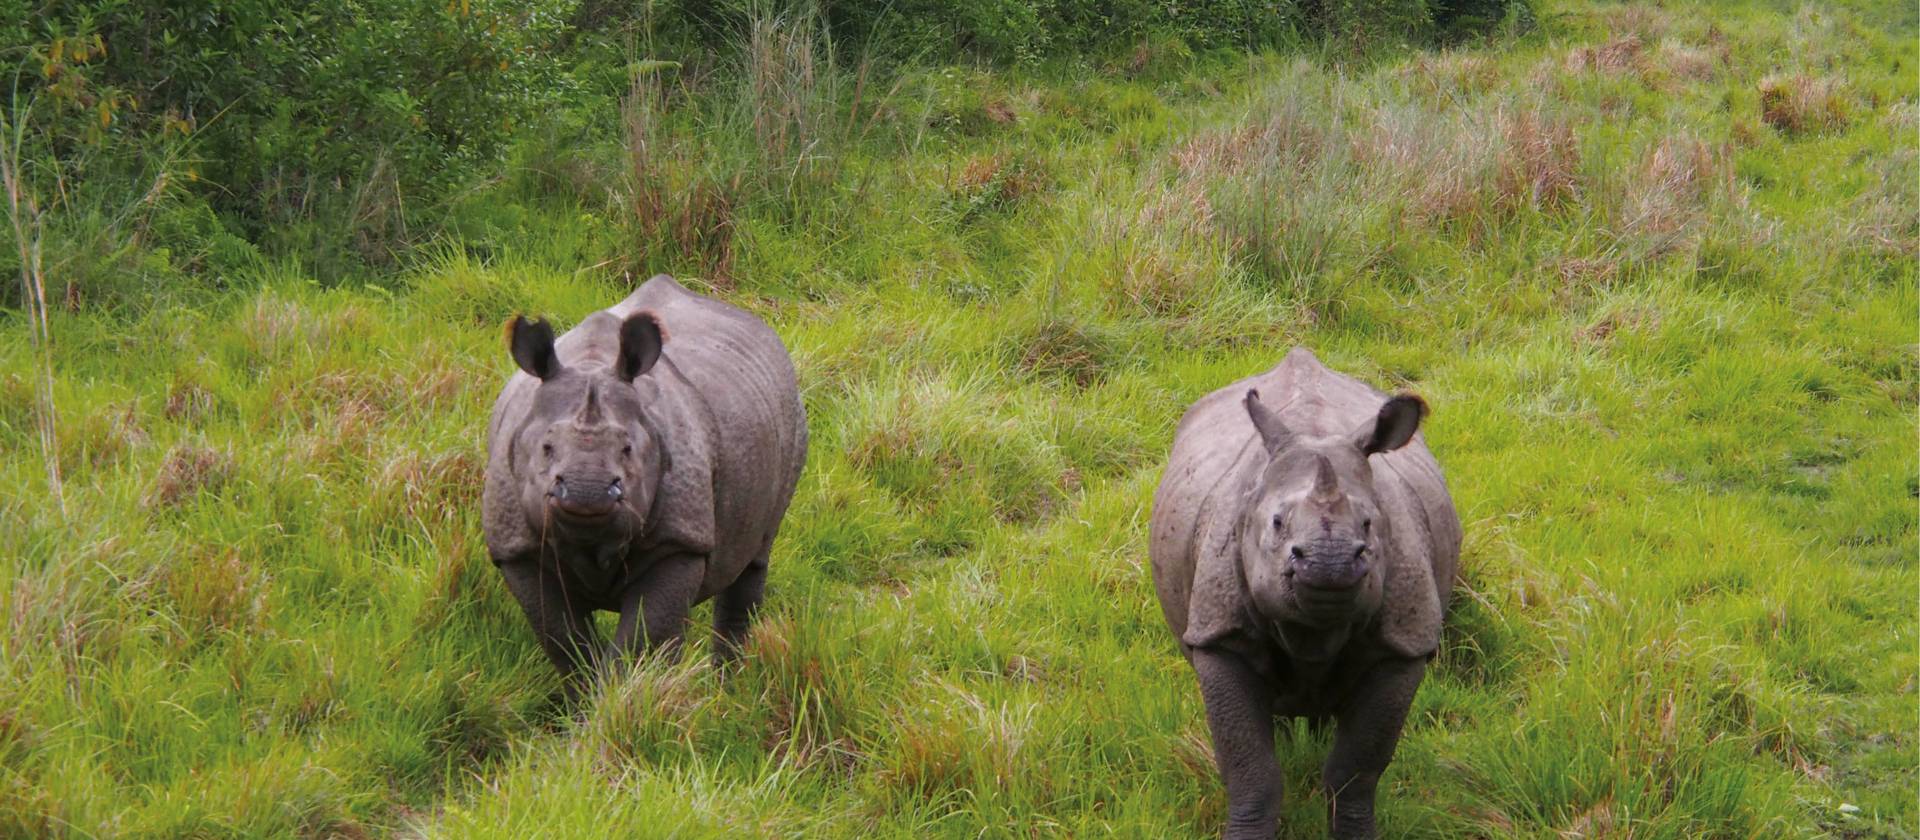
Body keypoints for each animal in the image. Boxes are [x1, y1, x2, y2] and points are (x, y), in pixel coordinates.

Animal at [483, 274, 807, 679]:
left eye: (627, 449)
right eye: (546, 447)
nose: (586, 492)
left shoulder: (678, 541)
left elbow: (639, 645)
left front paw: (630, 692)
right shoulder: (518, 550)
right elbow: (565, 643)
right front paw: (588, 694)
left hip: (791, 415)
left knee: (753, 559)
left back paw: (726, 688)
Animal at [1149, 348, 1460, 840]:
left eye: (1369, 524)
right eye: (1277, 523)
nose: (1328, 563)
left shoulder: (1403, 645)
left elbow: (1355, 771)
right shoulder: (1219, 635)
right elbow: (1251, 768)